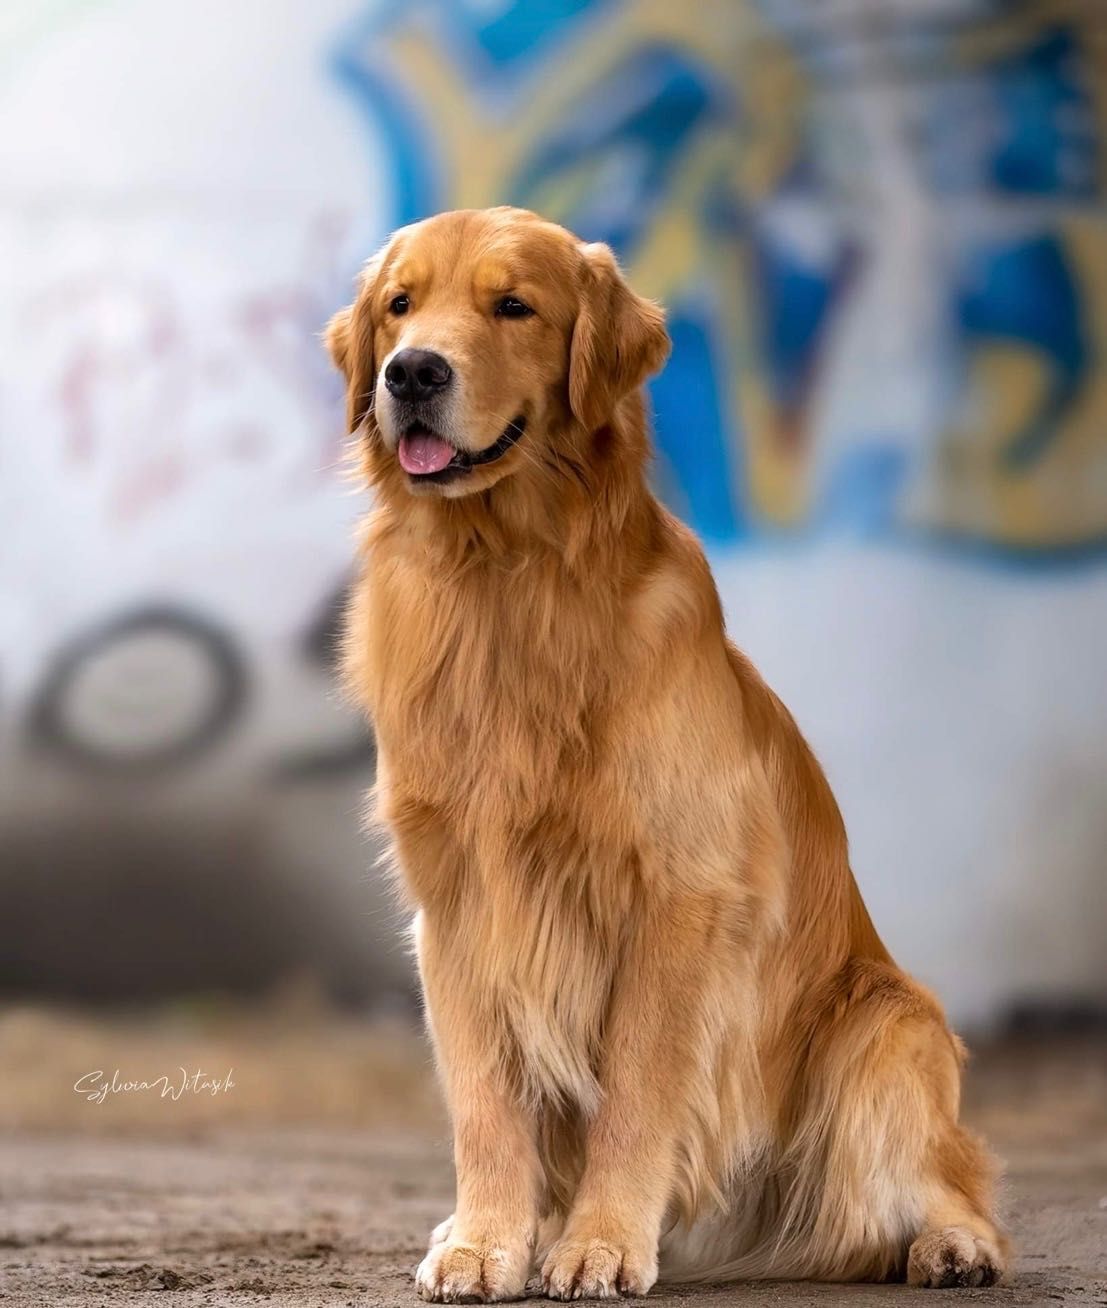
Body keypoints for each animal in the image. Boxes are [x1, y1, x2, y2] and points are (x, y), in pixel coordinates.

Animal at [324, 206, 1010, 1297]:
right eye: (399, 305)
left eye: (512, 305)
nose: (411, 372)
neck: (506, 577)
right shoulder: (459, 906)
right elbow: (484, 1099)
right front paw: (485, 1241)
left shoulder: (678, 898)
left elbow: (638, 1090)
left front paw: (600, 1241)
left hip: (885, 1027)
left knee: (940, 1180)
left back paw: (953, 1247)